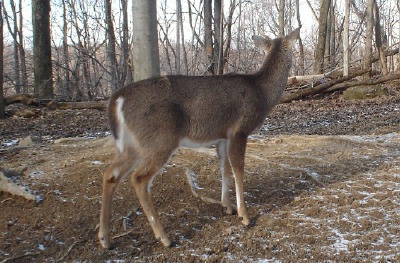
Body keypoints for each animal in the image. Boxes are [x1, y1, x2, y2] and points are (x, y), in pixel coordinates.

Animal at [99, 26, 300, 250]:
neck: (262, 93)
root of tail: (117, 100)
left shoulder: (222, 136)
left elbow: (224, 167)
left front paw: (227, 206)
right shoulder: (239, 130)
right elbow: (238, 169)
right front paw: (245, 216)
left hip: (132, 145)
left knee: (110, 174)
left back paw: (105, 239)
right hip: (160, 140)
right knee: (138, 178)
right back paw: (164, 237)